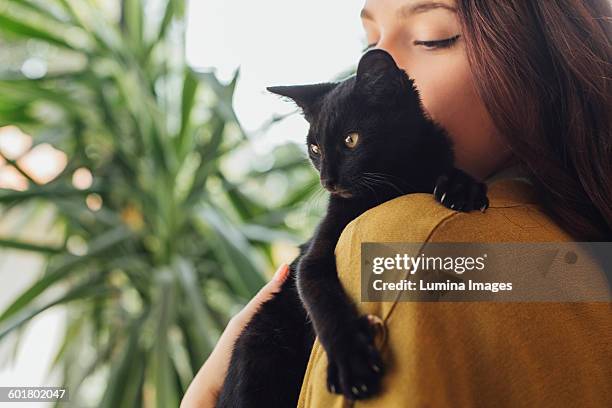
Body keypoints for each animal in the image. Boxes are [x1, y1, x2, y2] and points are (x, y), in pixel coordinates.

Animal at [215, 49, 488, 406]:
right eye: (315, 148)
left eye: (351, 140)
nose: (327, 180)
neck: (393, 183)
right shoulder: (313, 255)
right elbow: (322, 297)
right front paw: (352, 363)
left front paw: (461, 186)